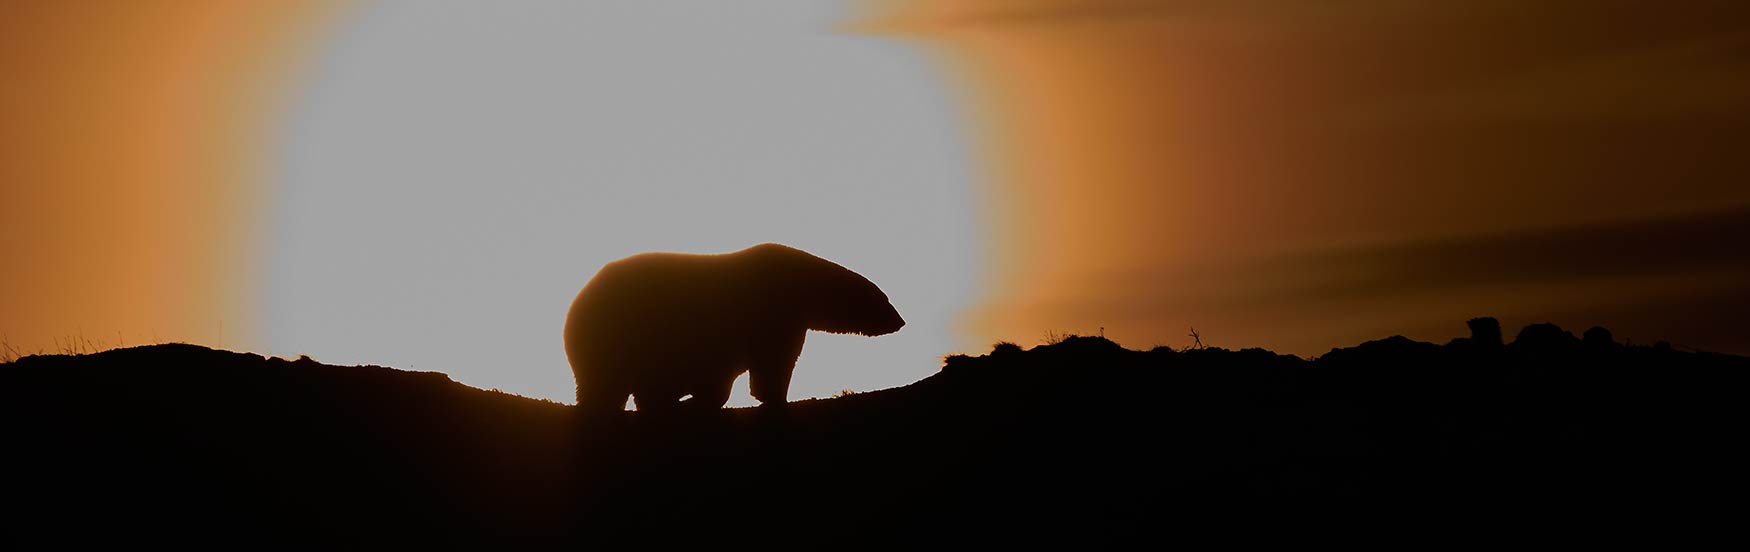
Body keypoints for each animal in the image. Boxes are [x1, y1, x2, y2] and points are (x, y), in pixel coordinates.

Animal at [563, 243, 904, 414]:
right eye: (885, 299)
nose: (901, 321)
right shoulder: (773, 315)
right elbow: (773, 362)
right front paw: (775, 398)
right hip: (613, 335)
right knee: (606, 382)